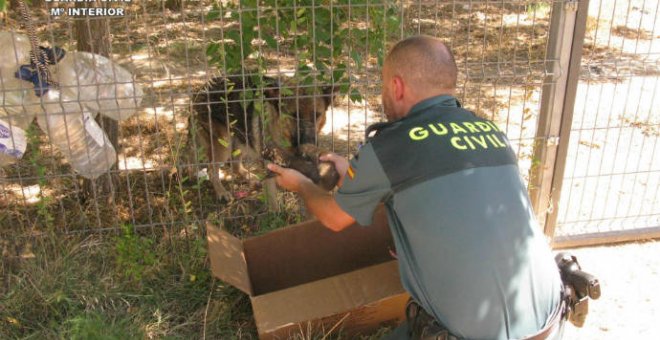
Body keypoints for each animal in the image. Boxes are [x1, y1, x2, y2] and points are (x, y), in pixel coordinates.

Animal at [187, 75, 338, 201]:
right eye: (293, 115)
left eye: (317, 115)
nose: (309, 141)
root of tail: (201, 90)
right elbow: (272, 196)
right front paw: (277, 214)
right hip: (224, 144)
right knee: (211, 170)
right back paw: (221, 192)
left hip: (240, 139)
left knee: (235, 165)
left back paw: (249, 178)